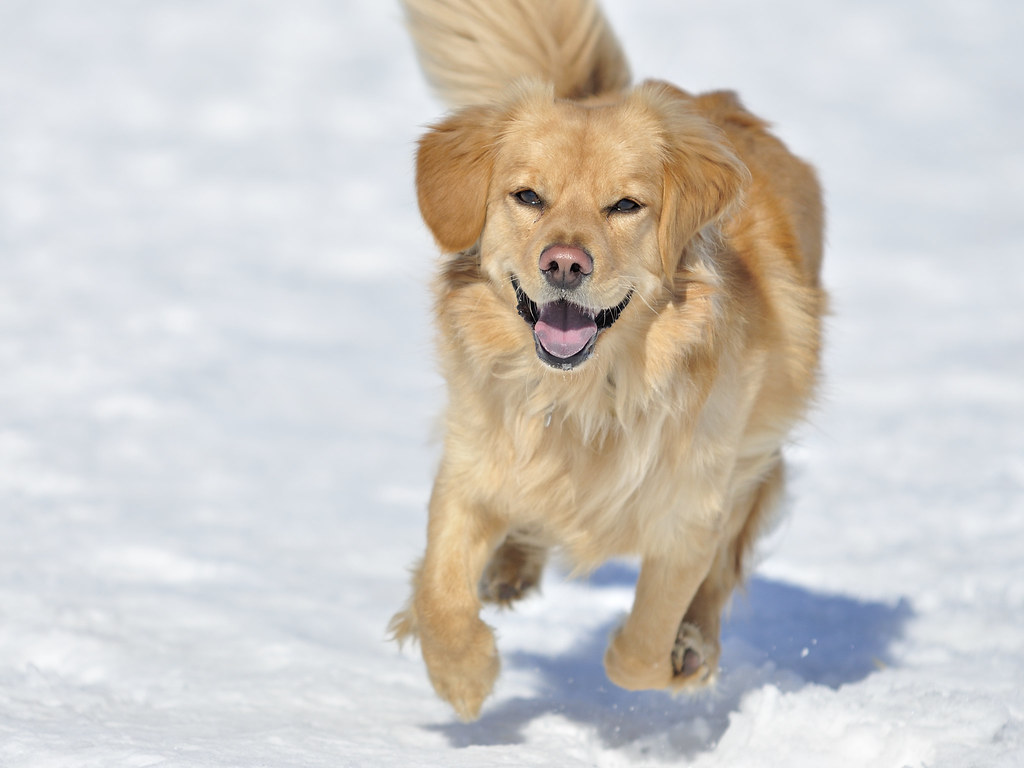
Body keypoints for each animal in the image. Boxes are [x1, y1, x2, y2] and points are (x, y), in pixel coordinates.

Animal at [387, 0, 827, 720]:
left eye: (625, 205)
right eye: (527, 196)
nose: (564, 264)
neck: (589, 397)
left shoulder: (692, 508)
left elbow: (636, 653)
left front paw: (679, 661)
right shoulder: (473, 462)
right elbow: (440, 592)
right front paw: (464, 676)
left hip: (756, 456)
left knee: (724, 565)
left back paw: (695, 641)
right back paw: (510, 569)